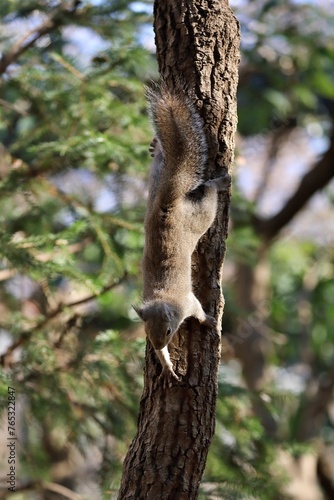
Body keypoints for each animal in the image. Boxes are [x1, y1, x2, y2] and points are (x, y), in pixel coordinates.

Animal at [133, 85, 230, 382]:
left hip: (199, 218)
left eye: (167, 330)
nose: (158, 344)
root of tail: (166, 203)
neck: (163, 299)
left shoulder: (188, 302)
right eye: (146, 333)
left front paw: (208, 321)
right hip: (156, 184)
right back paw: (157, 148)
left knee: (209, 193)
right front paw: (166, 366)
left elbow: (198, 311)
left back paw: (221, 182)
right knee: (160, 164)